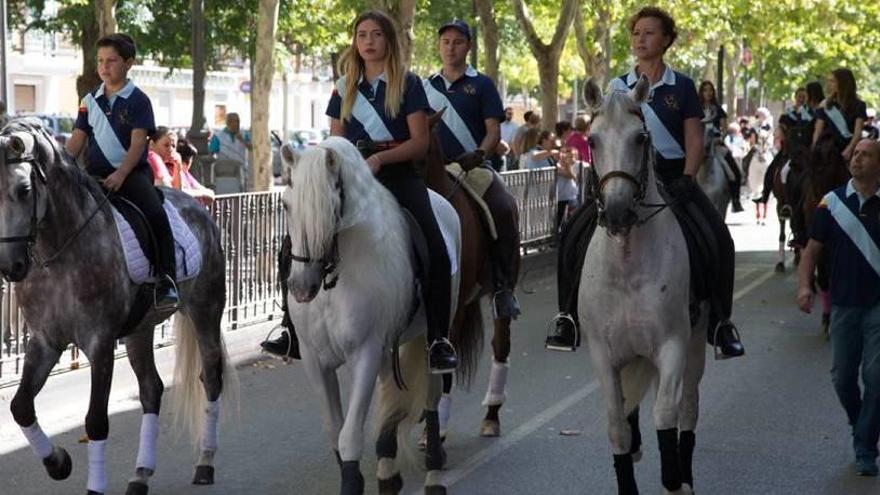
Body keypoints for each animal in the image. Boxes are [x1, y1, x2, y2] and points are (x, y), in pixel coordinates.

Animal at [0, 119, 234, 495]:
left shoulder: (100, 343)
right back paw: (140, 475)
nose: (10, 267)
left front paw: (94, 485)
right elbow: (21, 406)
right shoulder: (45, 341)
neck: (60, 253)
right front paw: (58, 463)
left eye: (23, 190)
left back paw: (205, 462)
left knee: (211, 379)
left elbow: (96, 420)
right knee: (152, 389)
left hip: (206, 311)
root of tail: (198, 207)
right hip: (140, 330)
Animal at [580, 75, 712, 494]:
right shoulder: (603, 355)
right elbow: (617, 424)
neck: (627, 264)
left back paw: (686, 474)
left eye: (640, 138)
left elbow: (667, 414)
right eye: (592, 140)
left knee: (689, 407)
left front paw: (674, 480)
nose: (618, 211)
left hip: (696, 344)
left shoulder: (672, 344)